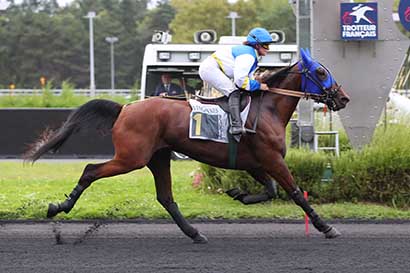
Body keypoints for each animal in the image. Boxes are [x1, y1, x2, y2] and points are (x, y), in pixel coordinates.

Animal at [24, 49, 350, 242]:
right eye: (321, 72)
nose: (343, 98)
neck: (267, 108)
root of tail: (124, 108)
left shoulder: (255, 162)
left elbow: (269, 191)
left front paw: (238, 194)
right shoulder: (271, 159)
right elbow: (295, 192)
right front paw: (326, 227)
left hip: (158, 157)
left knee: (166, 198)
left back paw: (195, 233)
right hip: (132, 157)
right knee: (91, 170)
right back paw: (59, 207)